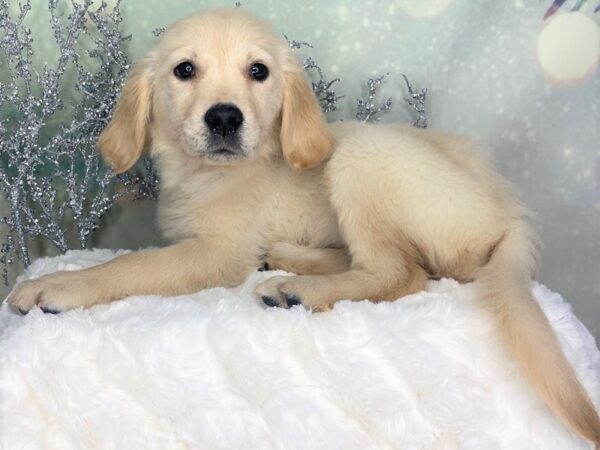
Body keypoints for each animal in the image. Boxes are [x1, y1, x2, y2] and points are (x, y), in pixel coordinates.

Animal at [5, 7, 600, 446]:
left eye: (259, 71)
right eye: (184, 70)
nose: (225, 118)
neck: (205, 176)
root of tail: (513, 211)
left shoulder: (218, 253)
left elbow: (132, 263)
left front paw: (55, 285)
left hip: (361, 155)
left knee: (402, 272)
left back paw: (298, 289)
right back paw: (290, 260)